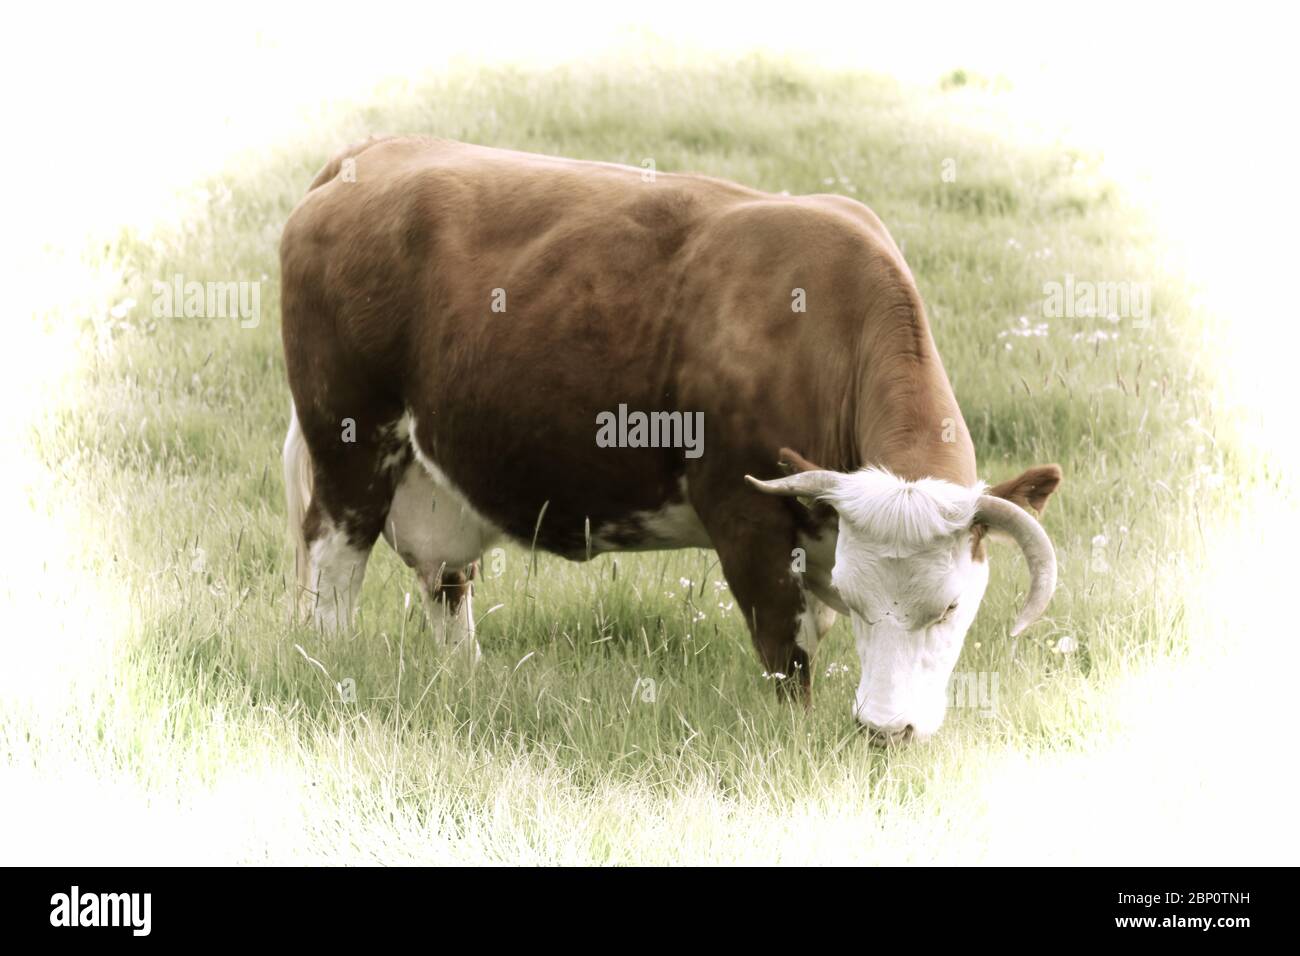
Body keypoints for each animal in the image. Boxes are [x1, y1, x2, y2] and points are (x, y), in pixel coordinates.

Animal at [280, 136, 1061, 742]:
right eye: (860, 598)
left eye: (951, 606)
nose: (885, 729)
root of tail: (367, 154)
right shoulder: (745, 520)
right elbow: (788, 658)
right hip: (350, 443)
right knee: (333, 568)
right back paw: (328, 667)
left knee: (446, 582)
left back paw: (466, 680)